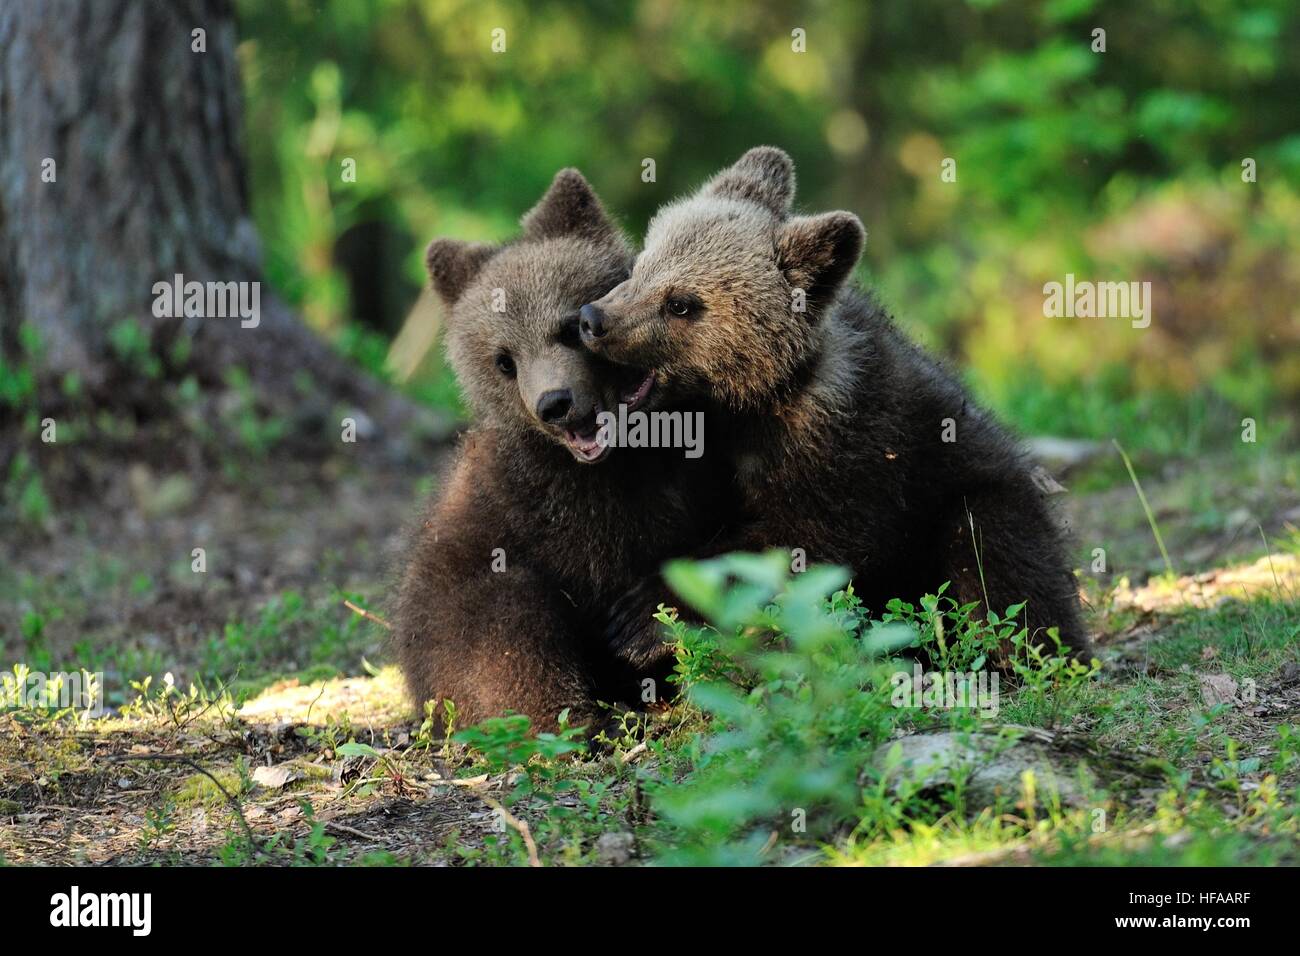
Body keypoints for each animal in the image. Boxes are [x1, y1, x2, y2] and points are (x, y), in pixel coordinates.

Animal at [393, 168, 733, 734]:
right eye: (503, 360)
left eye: (570, 326)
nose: (555, 403)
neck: (612, 466)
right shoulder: (518, 510)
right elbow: (487, 630)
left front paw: (644, 626)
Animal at [578, 147, 1094, 663]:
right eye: (642, 265)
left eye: (682, 303)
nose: (593, 319)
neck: (750, 404)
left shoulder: (850, 448)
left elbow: (803, 540)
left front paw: (641, 616)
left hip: (979, 499)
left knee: (998, 566)